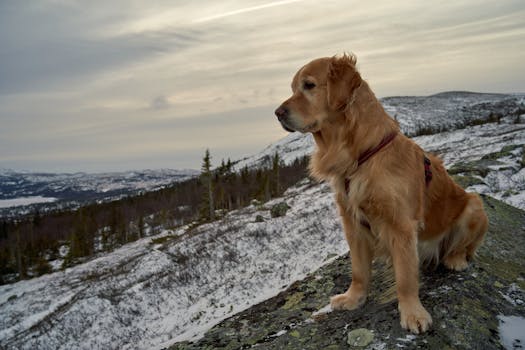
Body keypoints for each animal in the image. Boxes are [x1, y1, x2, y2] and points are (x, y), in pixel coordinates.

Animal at [274, 54, 488, 334]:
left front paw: (412, 313)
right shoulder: (352, 222)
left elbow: (406, 278)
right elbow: (359, 270)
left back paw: (455, 258)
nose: (277, 113)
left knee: (464, 247)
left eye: (308, 85)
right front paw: (354, 298)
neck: (361, 155)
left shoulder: (401, 225)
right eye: (291, 88)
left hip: (475, 204)